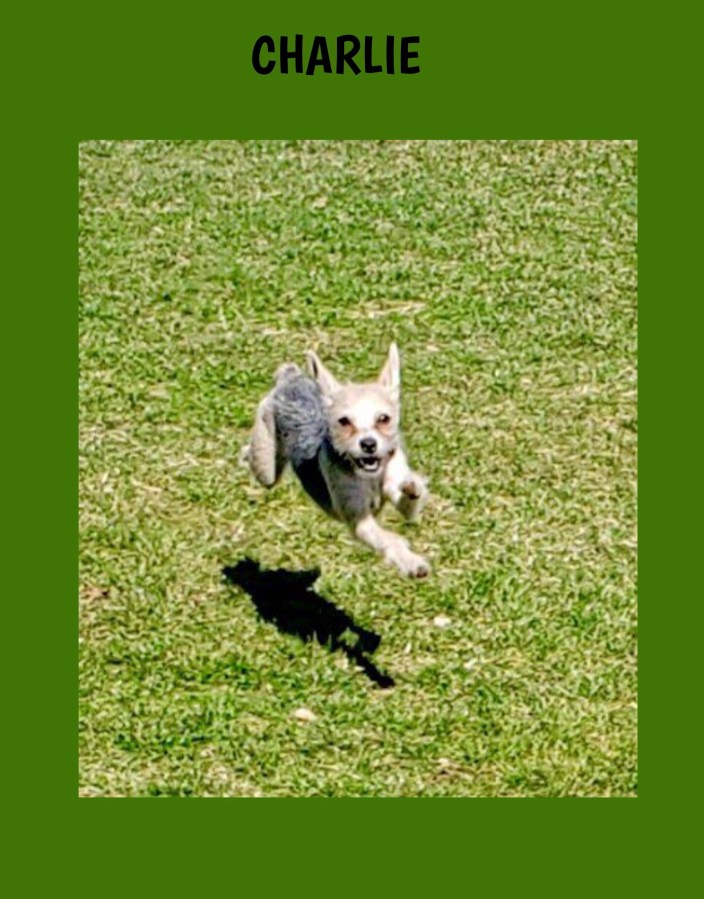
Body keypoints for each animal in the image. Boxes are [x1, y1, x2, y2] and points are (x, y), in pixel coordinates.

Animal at [246, 343, 429, 578]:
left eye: (383, 419)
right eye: (344, 421)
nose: (368, 444)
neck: (369, 476)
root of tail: (292, 376)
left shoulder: (398, 491)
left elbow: (409, 500)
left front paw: (413, 485)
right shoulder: (359, 521)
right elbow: (389, 540)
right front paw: (410, 561)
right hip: (266, 467)